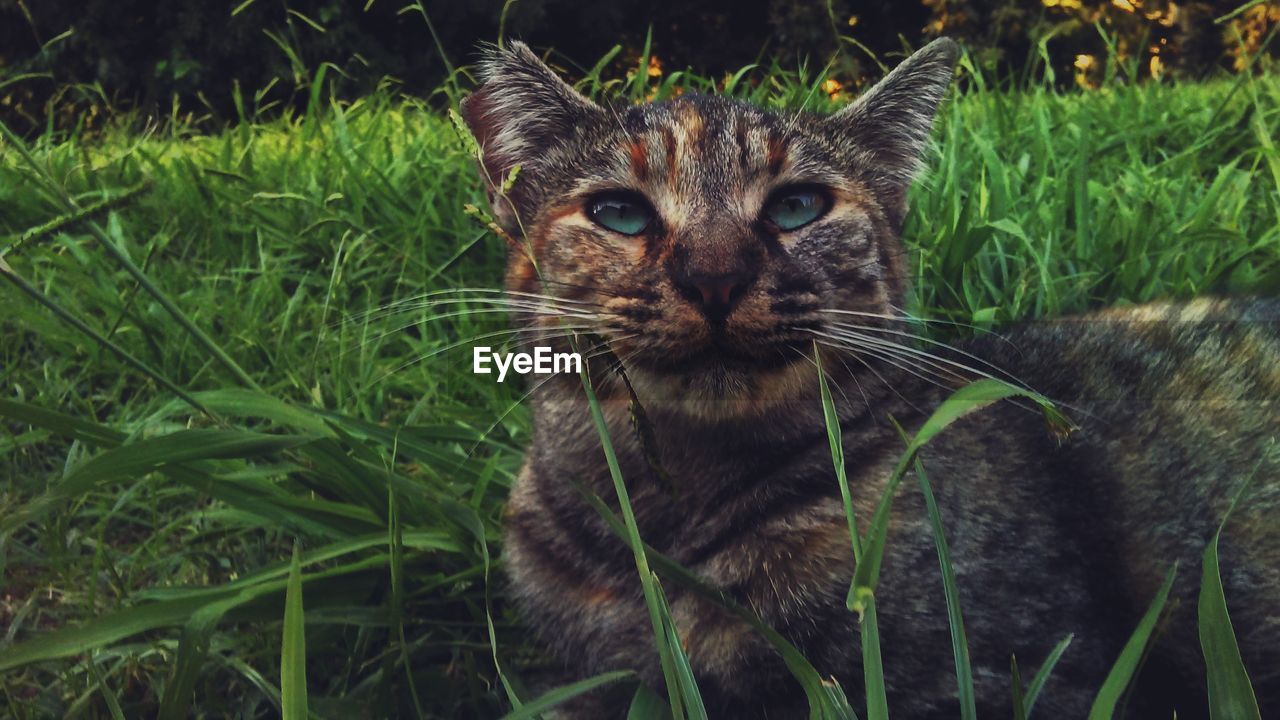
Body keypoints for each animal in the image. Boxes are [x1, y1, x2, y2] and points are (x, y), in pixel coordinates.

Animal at [455, 39, 1274, 717]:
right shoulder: (588, 680)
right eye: (620, 213)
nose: (715, 278)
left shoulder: (1030, 673)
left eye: (797, 206)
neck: (674, 519)